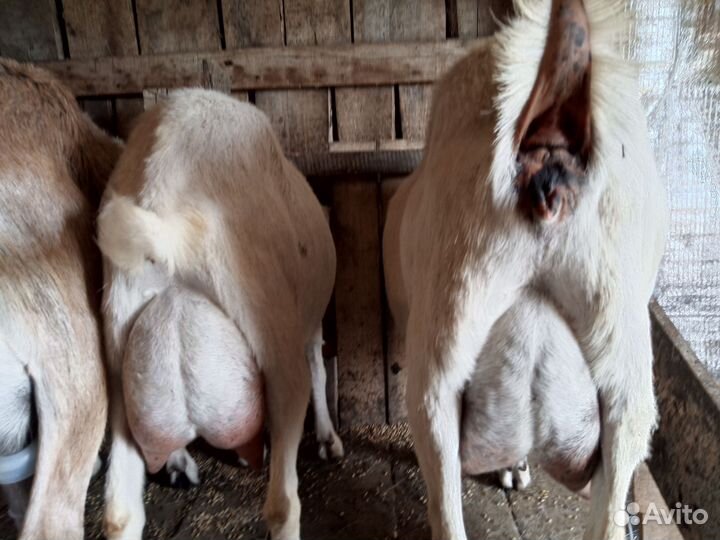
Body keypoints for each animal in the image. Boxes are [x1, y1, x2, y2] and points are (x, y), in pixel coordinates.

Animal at [97, 89, 342, 540]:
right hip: (275, 340)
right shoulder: (307, 322)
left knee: (119, 513)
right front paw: (328, 440)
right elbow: (319, 366)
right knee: (282, 505)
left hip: (120, 357)